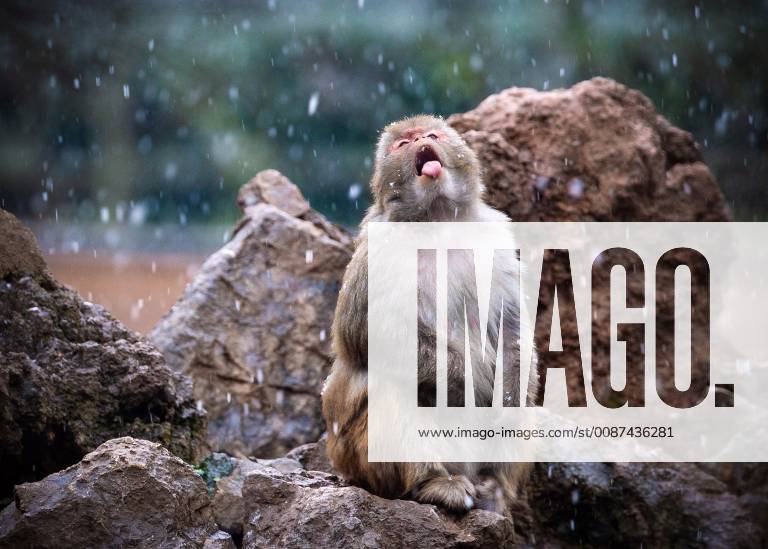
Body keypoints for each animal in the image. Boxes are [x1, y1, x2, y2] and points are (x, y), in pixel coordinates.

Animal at [322, 114, 535, 514]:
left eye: (431, 134)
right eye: (402, 144)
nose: (420, 140)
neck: (438, 220)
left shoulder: (496, 238)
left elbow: (512, 330)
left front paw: (509, 393)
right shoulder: (378, 250)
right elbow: (362, 333)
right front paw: (462, 378)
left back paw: (493, 488)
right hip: (355, 456)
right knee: (393, 385)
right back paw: (434, 483)